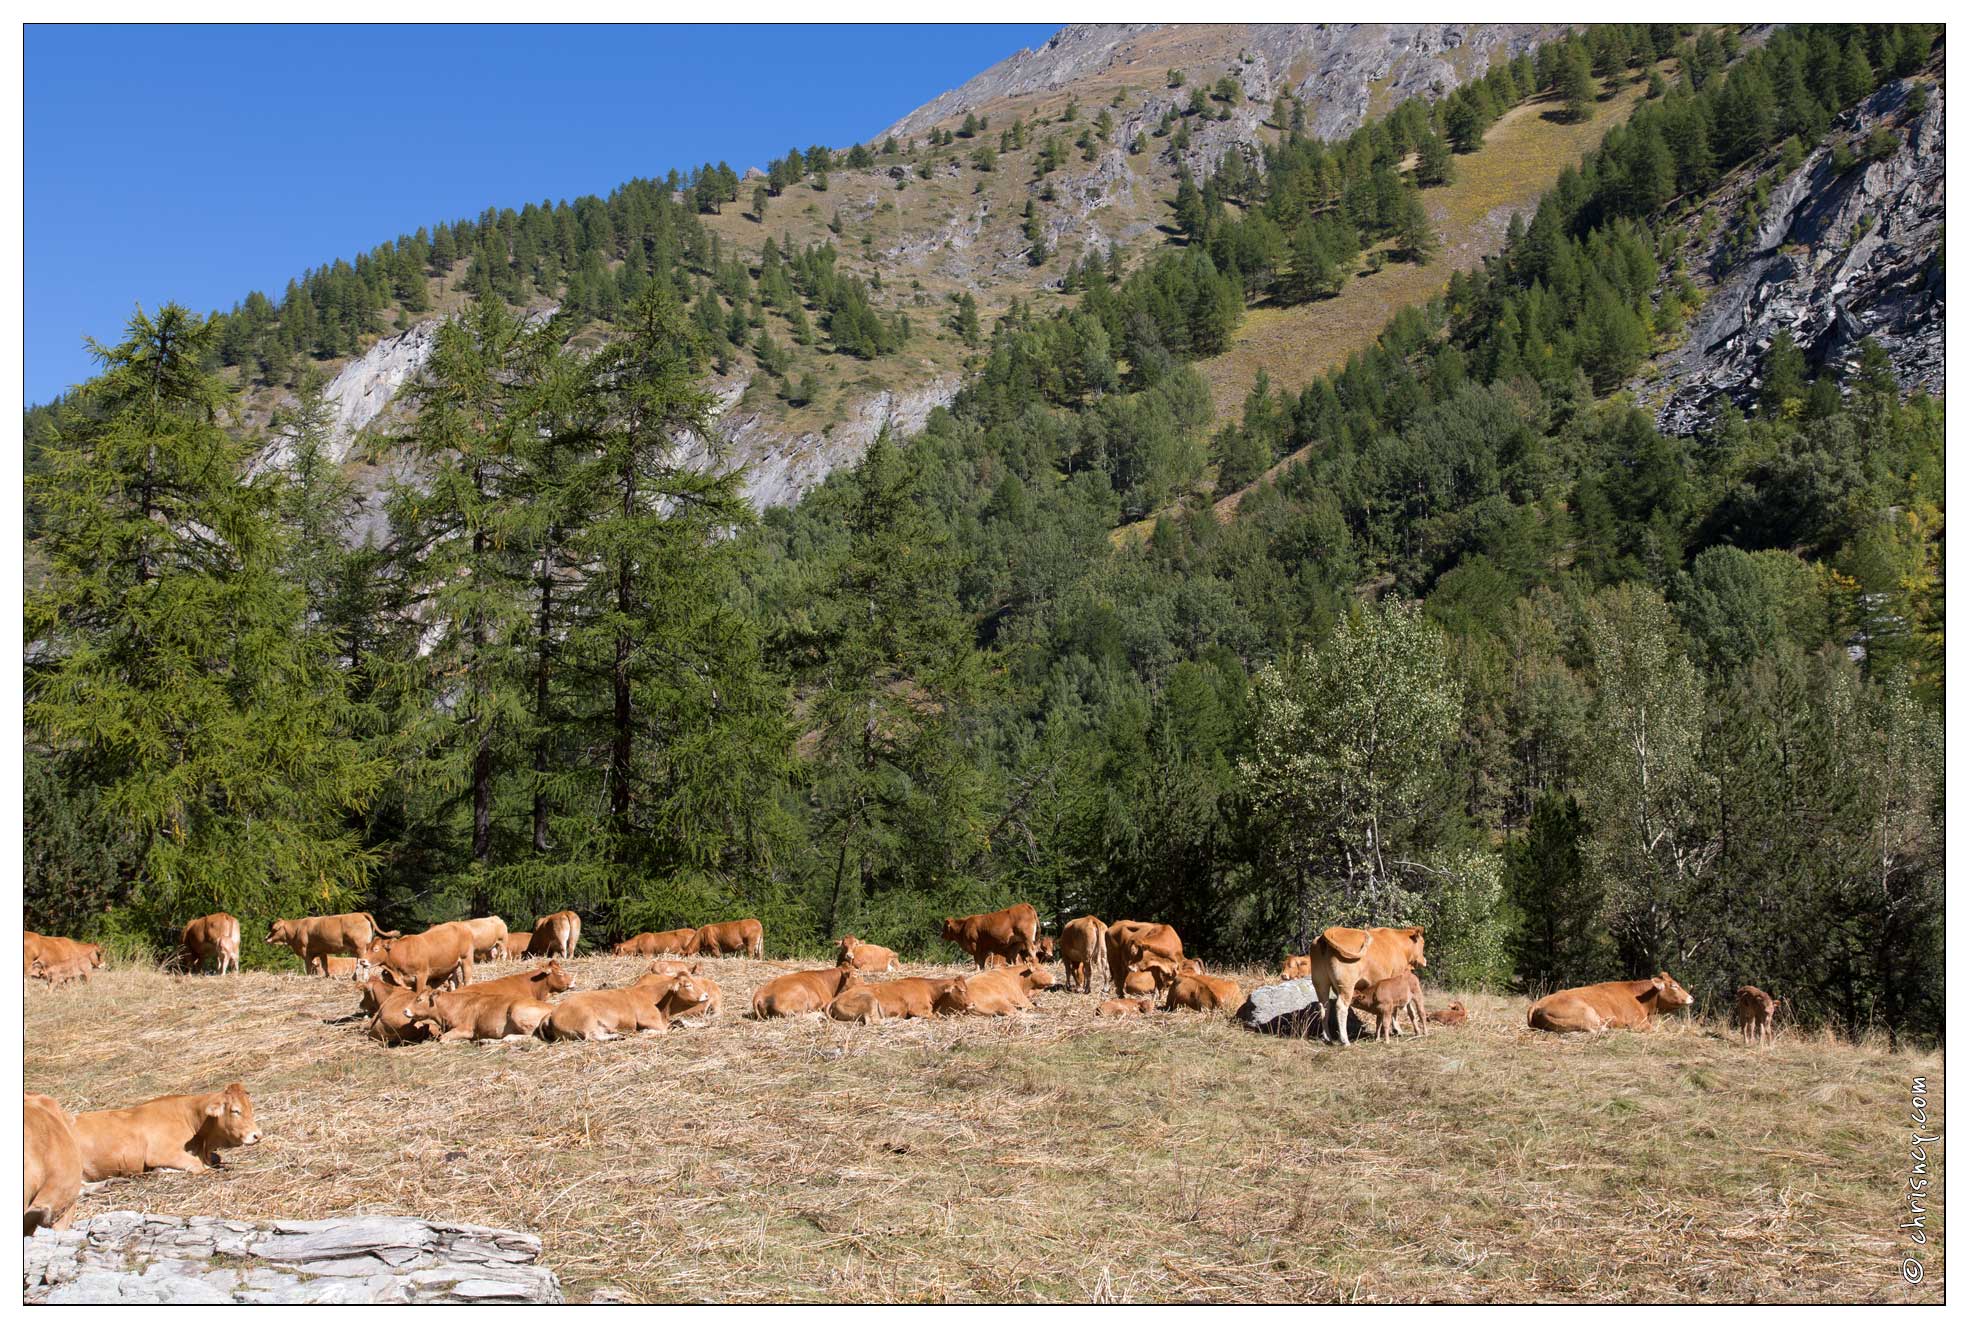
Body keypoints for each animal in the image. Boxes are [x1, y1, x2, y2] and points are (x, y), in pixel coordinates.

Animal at [70, 1078, 263, 1189]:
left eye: (251, 1108)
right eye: (235, 1110)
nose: (257, 1135)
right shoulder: (159, 1152)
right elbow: (197, 1165)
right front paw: (161, 1170)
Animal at [826, 976, 972, 1031]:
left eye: (967, 988)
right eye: (961, 990)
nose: (972, 1004)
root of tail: (836, 997)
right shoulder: (918, 1009)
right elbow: (937, 1017)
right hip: (869, 1000)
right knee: (872, 1021)